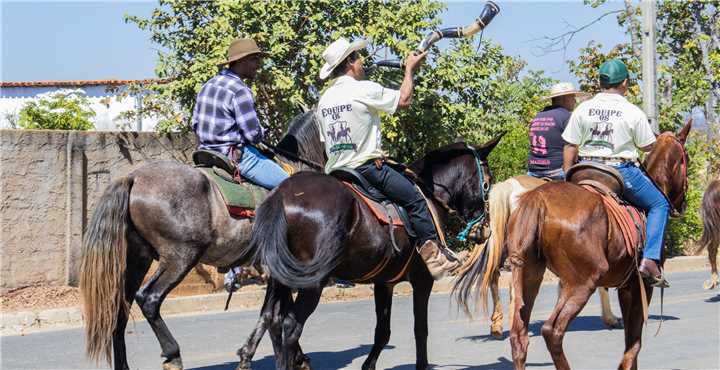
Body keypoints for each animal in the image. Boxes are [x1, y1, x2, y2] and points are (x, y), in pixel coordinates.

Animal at [250, 136, 504, 370]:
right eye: (488, 183)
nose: (485, 229)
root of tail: (282, 195)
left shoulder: (384, 282)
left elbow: (382, 331)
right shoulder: (422, 279)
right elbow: (420, 329)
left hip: (280, 277)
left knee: (272, 319)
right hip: (312, 281)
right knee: (291, 326)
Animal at [458, 120, 688, 368]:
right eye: (686, 159)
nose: (682, 204)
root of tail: (536, 200)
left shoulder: (623, 285)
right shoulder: (639, 285)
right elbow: (633, 344)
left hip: (529, 273)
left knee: (518, 332)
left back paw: (499, 327)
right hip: (582, 282)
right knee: (552, 330)